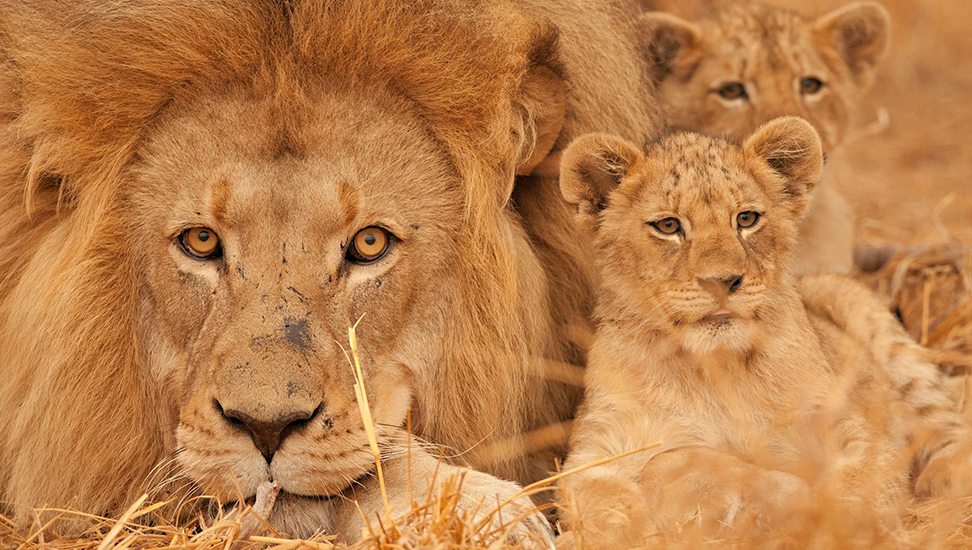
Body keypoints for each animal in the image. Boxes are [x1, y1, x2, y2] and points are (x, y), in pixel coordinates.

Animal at [555, 117, 971, 547]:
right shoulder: (596, 451)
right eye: (668, 225)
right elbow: (601, 497)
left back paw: (944, 477)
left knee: (945, 419)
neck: (715, 369)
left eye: (746, 219)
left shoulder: (852, 429)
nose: (722, 281)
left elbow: (859, 482)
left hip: (860, 309)